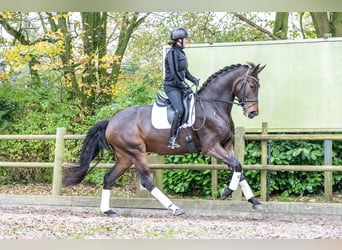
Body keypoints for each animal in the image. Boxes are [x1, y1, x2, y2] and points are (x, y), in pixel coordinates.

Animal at [64, 62, 268, 217]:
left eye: (259, 86)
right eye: (251, 86)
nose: (253, 113)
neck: (213, 107)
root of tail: (111, 121)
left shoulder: (226, 146)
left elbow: (239, 168)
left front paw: (255, 201)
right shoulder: (212, 147)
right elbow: (237, 166)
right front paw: (226, 192)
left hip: (125, 157)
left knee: (108, 178)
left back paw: (108, 211)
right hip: (136, 152)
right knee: (147, 182)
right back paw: (174, 208)